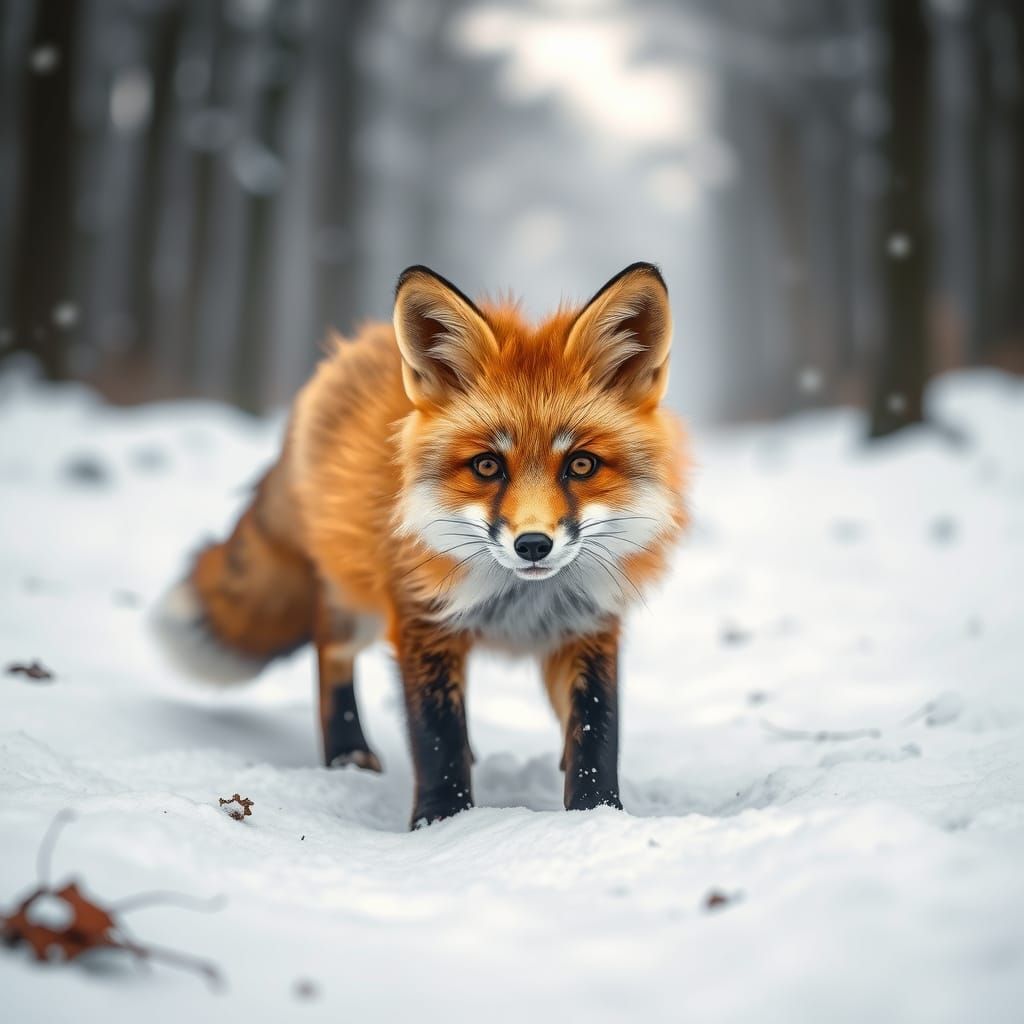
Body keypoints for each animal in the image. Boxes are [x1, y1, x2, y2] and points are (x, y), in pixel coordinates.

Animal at [154, 262, 688, 828]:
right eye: (487, 466)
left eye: (581, 465)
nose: (533, 545)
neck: (518, 603)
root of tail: (351, 347)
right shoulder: (422, 620)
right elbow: (437, 736)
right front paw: (443, 822)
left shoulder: (588, 627)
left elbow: (596, 731)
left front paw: (597, 816)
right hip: (355, 603)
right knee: (329, 649)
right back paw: (347, 753)